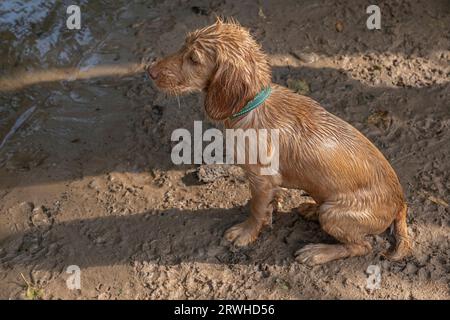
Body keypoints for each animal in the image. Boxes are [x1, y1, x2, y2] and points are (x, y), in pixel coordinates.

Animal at [149, 19, 412, 264]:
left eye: (193, 59)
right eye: (183, 45)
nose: (150, 71)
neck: (252, 107)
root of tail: (400, 203)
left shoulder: (261, 179)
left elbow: (255, 209)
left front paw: (245, 232)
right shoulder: (268, 183)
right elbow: (266, 204)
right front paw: (269, 214)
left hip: (334, 213)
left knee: (362, 246)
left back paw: (317, 252)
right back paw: (310, 209)